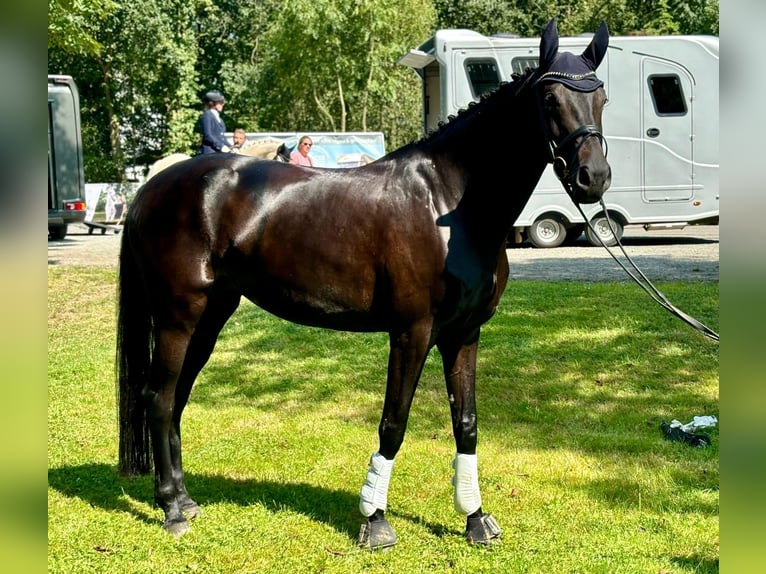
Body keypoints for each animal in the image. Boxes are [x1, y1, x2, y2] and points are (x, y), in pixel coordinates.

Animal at [118, 18, 612, 548]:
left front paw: (476, 519)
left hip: (210, 317)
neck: (446, 204)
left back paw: (184, 498)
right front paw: (375, 521)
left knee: (177, 397)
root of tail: (152, 186)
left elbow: (467, 423)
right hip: (178, 316)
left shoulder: (464, 333)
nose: (593, 177)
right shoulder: (412, 332)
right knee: (159, 398)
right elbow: (393, 423)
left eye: (601, 97)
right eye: (550, 99)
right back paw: (172, 510)